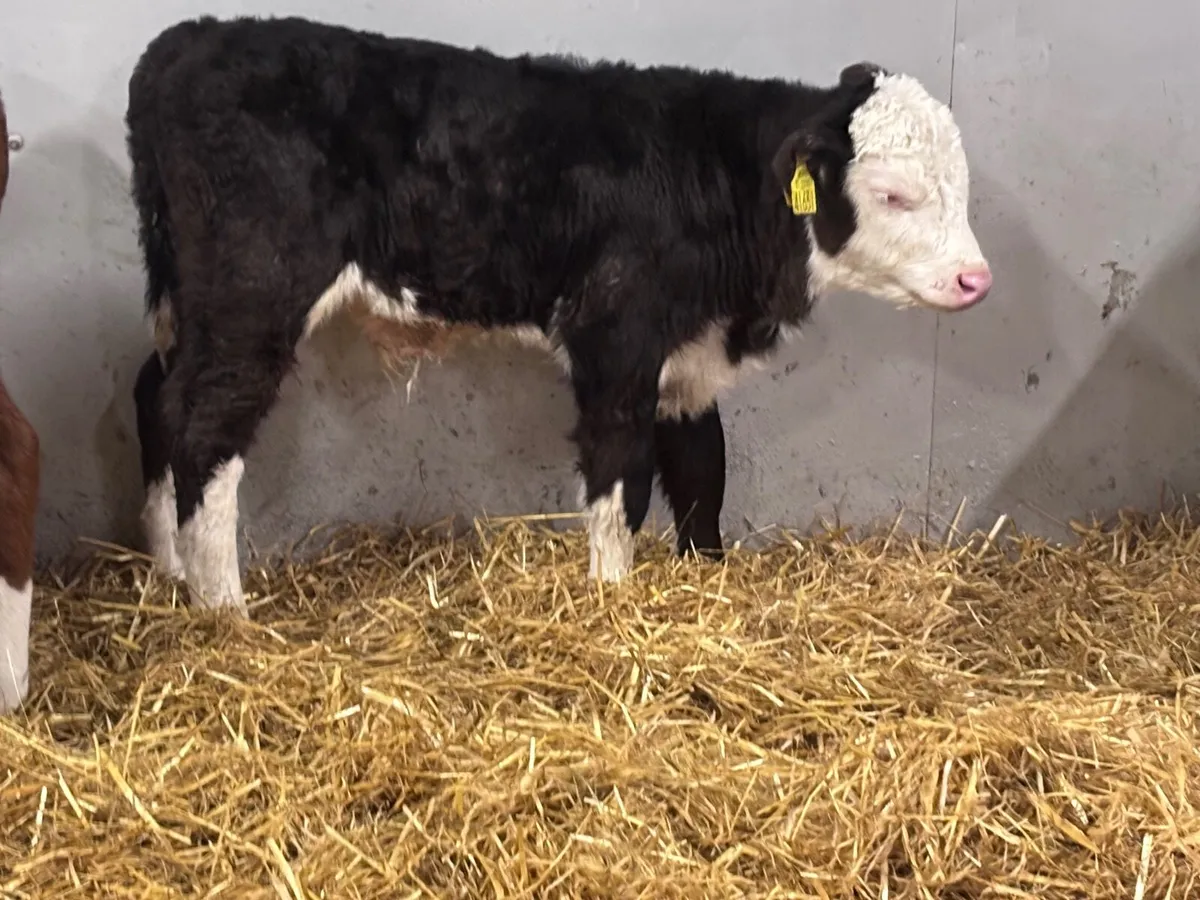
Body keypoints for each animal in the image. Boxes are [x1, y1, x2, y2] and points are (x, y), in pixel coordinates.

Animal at [126, 15, 991, 616]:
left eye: (961, 187)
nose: (975, 279)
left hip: (181, 299)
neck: (714, 182)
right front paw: (613, 603)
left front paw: (703, 586)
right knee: (206, 432)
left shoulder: (687, 360)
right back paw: (224, 611)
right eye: (894, 194)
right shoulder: (616, 335)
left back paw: (168, 572)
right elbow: (621, 483)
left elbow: (702, 474)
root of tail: (188, 40)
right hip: (253, 293)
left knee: (156, 397)